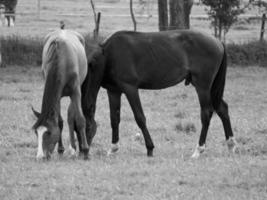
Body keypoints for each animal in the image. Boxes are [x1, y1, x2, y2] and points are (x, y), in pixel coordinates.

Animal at [82, 29, 238, 158]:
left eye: (86, 127)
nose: (83, 151)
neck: (108, 55)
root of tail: (218, 42)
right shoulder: (114, 91)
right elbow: (114, 119)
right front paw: (113, 148)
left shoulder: (130, 89)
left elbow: (140, 118)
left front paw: (150, 148)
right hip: (211, 89)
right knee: (222, 109)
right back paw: (231, 145)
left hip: (203, 87)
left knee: (206, 113)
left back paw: (198, 150)